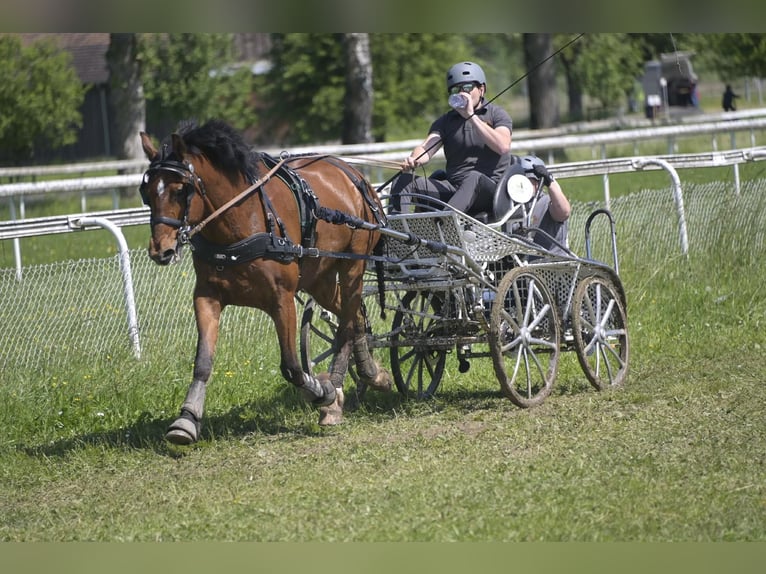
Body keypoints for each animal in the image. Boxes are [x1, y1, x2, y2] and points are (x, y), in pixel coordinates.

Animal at [138, 120, 392, 446]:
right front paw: (186, 420)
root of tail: (353, 174)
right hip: (319, 278)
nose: (161, 250)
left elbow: (292, 367)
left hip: (352, 265)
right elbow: (203, 362)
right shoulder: (206, 296)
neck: (240, 222)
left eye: (180, 189)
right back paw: (371, 374)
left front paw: (321, 392)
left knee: (348, 321)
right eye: (146, 192)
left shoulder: (281, 299)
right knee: (355, 316)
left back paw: (335, 388)